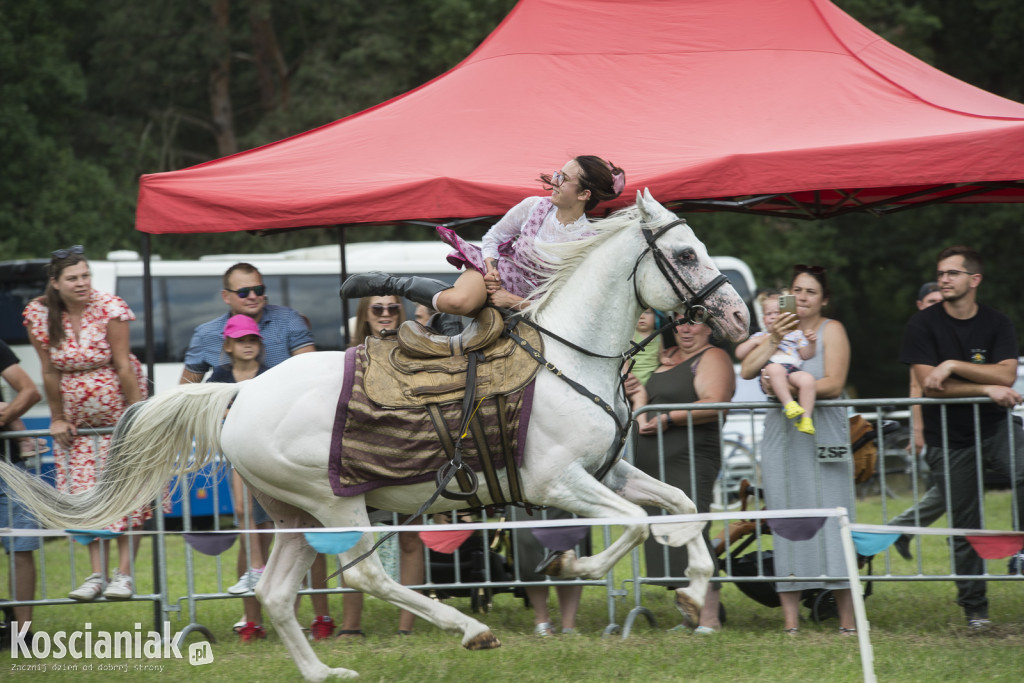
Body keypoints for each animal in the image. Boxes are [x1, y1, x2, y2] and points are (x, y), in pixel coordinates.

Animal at [0, 189, 745, 679]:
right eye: (685, 252)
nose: (736, 317)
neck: (567, 355)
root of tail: (241, 391)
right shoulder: (556, 479)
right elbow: (637, 525)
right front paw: (576, 567)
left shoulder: (608, 469)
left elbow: (683, 505)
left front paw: (693, 592)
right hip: (337, 504)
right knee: (364, 572)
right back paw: (470, 629)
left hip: (295, 514)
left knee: (278, 595)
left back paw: (326, 672)